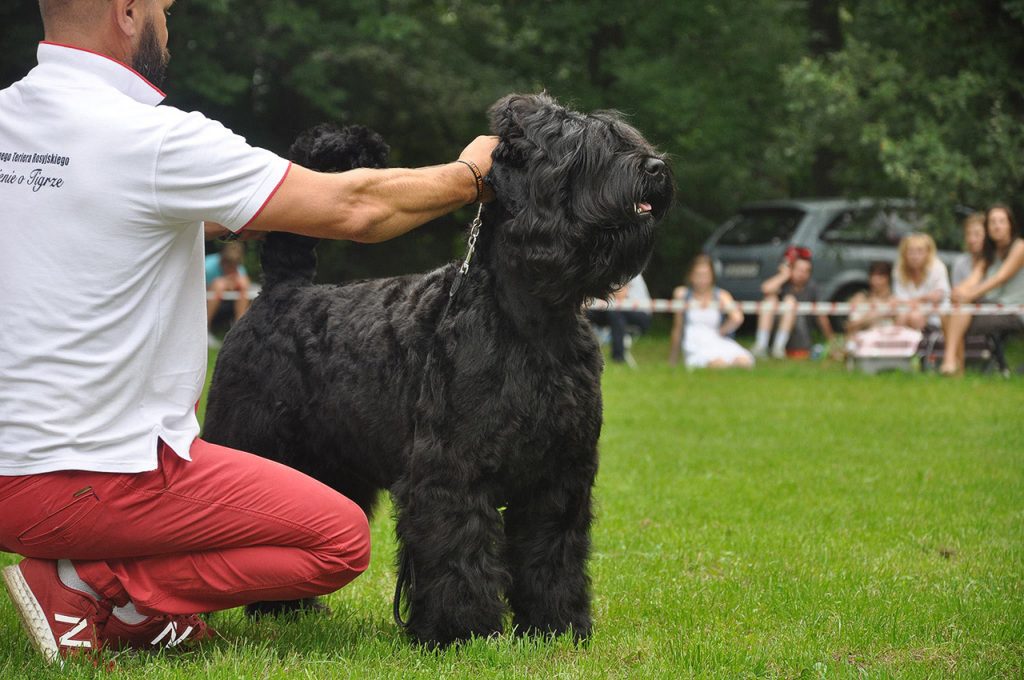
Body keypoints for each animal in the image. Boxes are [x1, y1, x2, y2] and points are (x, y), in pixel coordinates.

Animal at [203, 93, 675, 647]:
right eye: (581, 149)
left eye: (623, 138)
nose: (655, 167)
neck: (533, 320)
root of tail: (281, 290)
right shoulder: (452, 467)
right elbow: (458, 547)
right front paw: (462, 631)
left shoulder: (560, 474)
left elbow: (553, 553)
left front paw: (556, 626)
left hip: (328, 468)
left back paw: (283, 607)